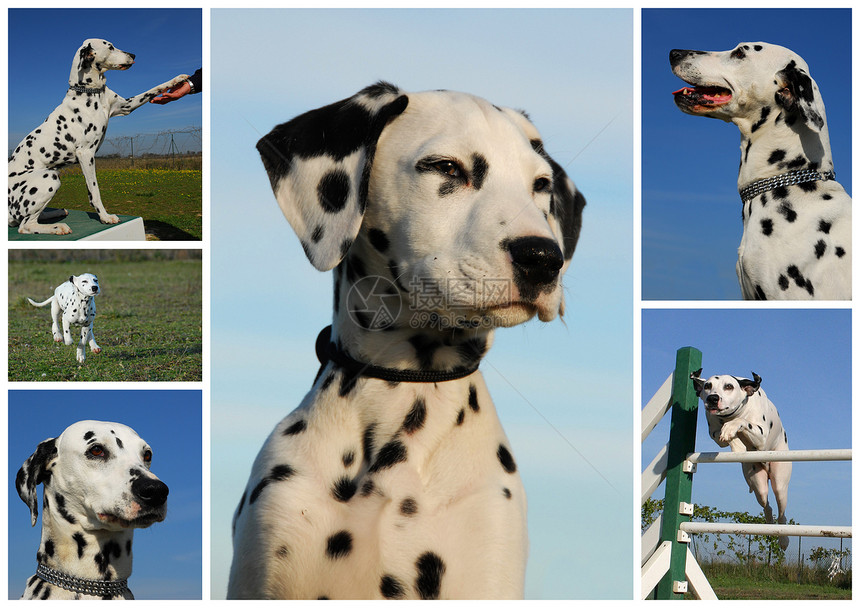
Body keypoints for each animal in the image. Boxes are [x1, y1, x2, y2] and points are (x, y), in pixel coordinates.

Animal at [7, 39, 189, 235]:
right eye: (110, 47)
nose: (133, 54)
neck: (91, 91)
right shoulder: (86, 154)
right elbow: (94, 191)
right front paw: (105, 216)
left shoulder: (126, 106)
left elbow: (153, 89)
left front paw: (178, 79)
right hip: (49, 177)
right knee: (25, 225)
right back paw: (57, 227)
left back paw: (56, 213)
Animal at [692, 370, 792, 552]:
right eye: (707, 386)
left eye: (729, 386)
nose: (712, 398)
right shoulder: (714, 432)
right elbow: (723, 435)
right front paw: (732, 439)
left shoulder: (760, 435)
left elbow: (742, 423)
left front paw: (732, 427)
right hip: (758, 484)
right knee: (767, 504)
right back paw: (769, 522)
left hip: (780, 482)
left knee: (781, 513)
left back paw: (783, 539)